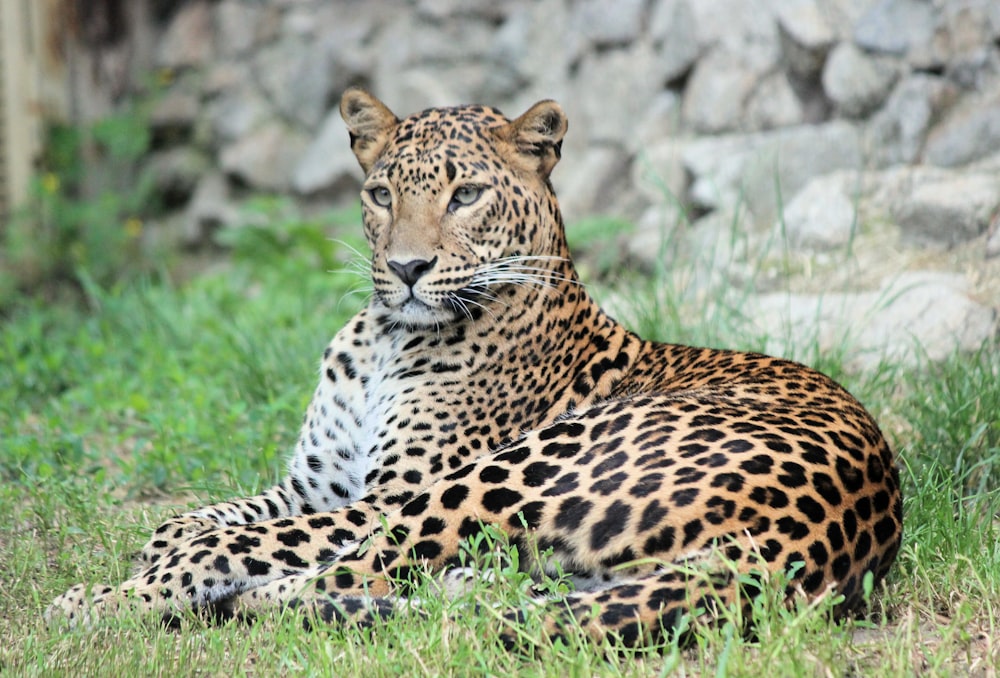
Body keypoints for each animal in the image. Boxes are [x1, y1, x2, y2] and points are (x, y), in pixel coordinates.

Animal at [48, 90, 908, 648]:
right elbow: (200, 518)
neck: (385, 339)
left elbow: (241, 541)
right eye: (380, 193)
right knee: (461, 585)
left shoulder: (380, 495)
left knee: (360, 574)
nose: (407, 268)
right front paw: (167, 543)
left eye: (465, 195)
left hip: (503, 476)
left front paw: (136, 581)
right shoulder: (316, 483)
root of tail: (822, 539)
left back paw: (139, 603)